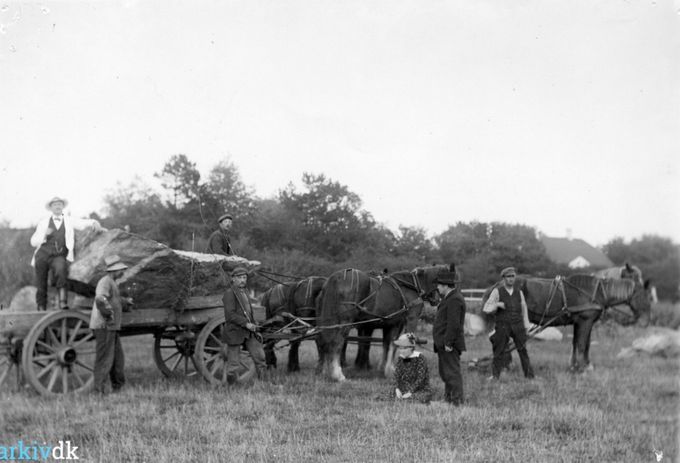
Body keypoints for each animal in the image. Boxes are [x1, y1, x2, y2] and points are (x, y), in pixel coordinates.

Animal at [318, 266, 446, 382]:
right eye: (438, 282)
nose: (437, 300)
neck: (411, 286)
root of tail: (337, 277)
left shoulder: (389, 324)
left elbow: (387, 344)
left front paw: (384, 368)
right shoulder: (407, 320)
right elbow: (398, 344)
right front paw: (393, 370)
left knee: (325, 341)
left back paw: (325, 371)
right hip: (345, 321)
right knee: (337, 342)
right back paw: (337, 374)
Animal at [486, 274, 652, 372]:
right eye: (643, 296)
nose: (646, 321)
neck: (595, 292)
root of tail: (495, 286)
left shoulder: (581, 323)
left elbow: (581, 344)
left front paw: (576, 365)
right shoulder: (585, 322)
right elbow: (582, 344)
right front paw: (582, 368)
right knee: (498, 339)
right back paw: (504, 365)